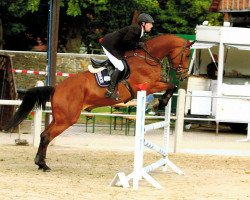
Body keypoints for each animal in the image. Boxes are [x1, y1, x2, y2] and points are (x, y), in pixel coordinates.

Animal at [4, 33, 193, 171]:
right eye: (187, 54)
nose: (184, 75)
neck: (148, 58)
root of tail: (57, 88)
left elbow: (171, 85)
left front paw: (161, 102)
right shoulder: (149, 85)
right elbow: (171, 85)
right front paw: (161, 102)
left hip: (60, 118)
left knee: (44, 135)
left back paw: (41, 163)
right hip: (67, 119)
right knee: (47, 136)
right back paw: (42, 164)